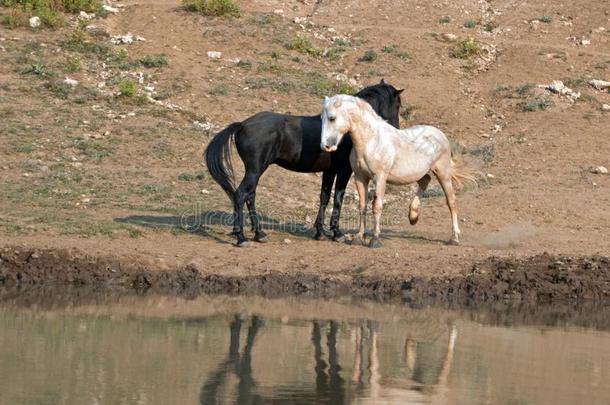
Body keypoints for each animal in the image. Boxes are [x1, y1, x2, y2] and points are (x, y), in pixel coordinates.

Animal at [204, 79, 402, 245]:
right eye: (398, 105)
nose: (396, 128)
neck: (346, 130)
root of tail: (242, 125)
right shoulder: (344, 171)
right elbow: (338, 198)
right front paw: (336, 233)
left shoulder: (329, 171)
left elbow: (324, 197)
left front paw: (320, 232)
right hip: (254, 170)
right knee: (240, 195)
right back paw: (241, 237)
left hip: (256, 171)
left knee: (250, 196)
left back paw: (259, 233)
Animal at [320, 94, 472, 246]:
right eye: (322, 118)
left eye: (332, 118)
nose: (325, 146)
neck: (371, 141)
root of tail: (441, 135)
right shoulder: (360, 177)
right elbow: (362, 206)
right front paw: (359, 237)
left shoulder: (380, 178)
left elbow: (377, 206)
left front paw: (375, 239)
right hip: (417, 173)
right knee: (426, 180)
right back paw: (413, 216)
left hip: (443, 173)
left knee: (451, 201)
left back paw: (454, 238)